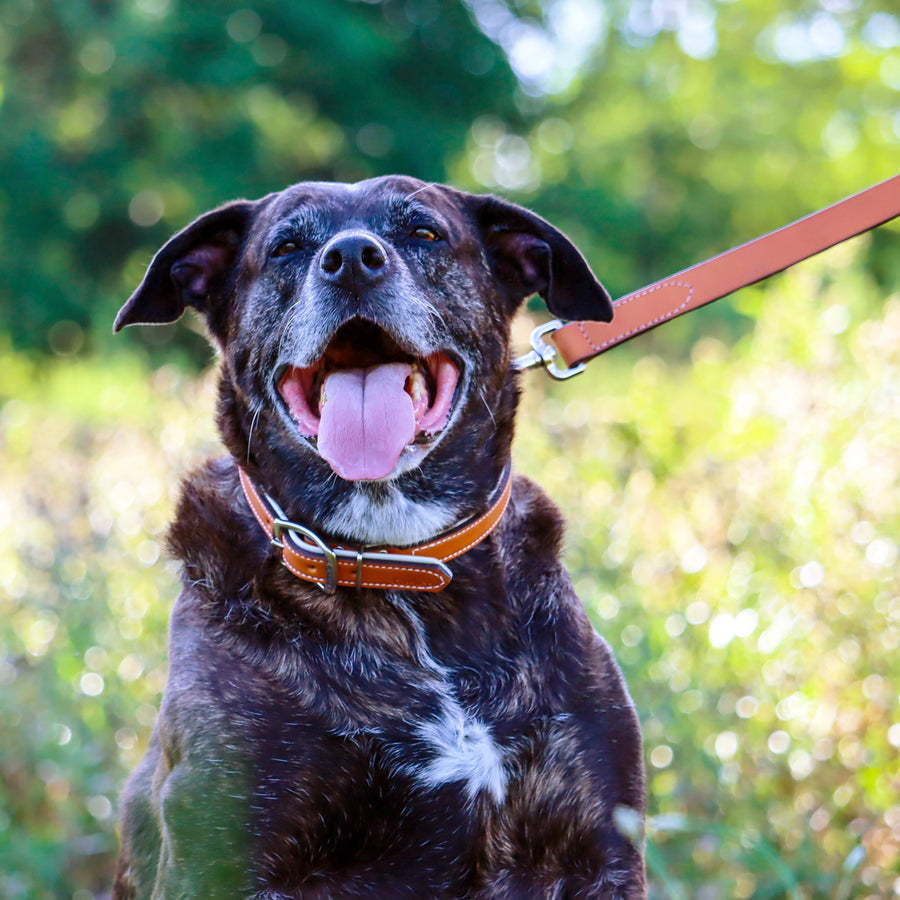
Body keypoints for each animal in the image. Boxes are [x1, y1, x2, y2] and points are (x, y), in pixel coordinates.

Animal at [110, 176, 648, 900]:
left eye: (423, 233)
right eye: (286, 247)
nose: (352, 260)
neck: (396, 562)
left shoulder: (600, 855)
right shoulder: (220, 857)